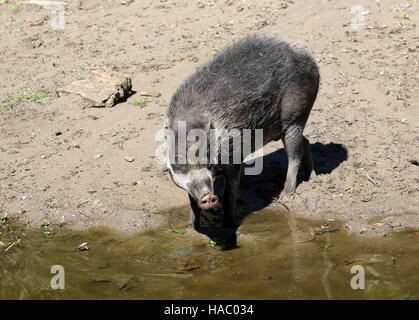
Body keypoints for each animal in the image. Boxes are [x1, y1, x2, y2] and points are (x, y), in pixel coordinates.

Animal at [166, 35, 320, 230]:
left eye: (207, 161)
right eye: (180, 164)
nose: (208, 196)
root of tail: (308, 59)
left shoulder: (234, 155)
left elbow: (229, 195)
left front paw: (228, 226)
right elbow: (192, 202)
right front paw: (189, 228)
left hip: (296, 116)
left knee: (294, 155)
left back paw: (285, 195)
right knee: (305, 142)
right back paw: (312, 179)